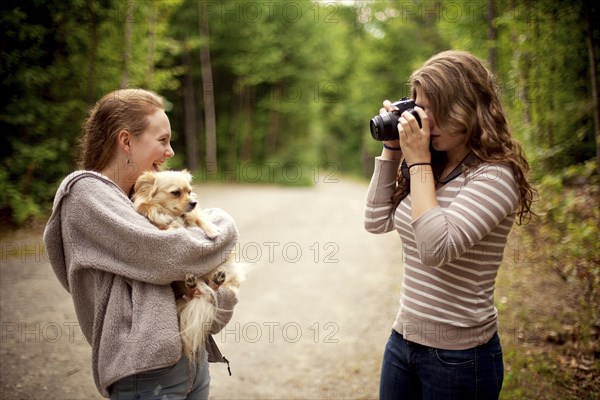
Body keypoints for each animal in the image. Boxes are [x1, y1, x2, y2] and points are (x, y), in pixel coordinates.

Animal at [132, 170, 244, 358]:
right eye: (176, 193)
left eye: (190, 191)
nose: (193, 202)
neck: (174, 216)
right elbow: (166, 224)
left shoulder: (194, 215)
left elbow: (199, 218)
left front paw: (212, 230)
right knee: (194, 287)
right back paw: (193, 283)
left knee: (211, 284)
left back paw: (216, 279)